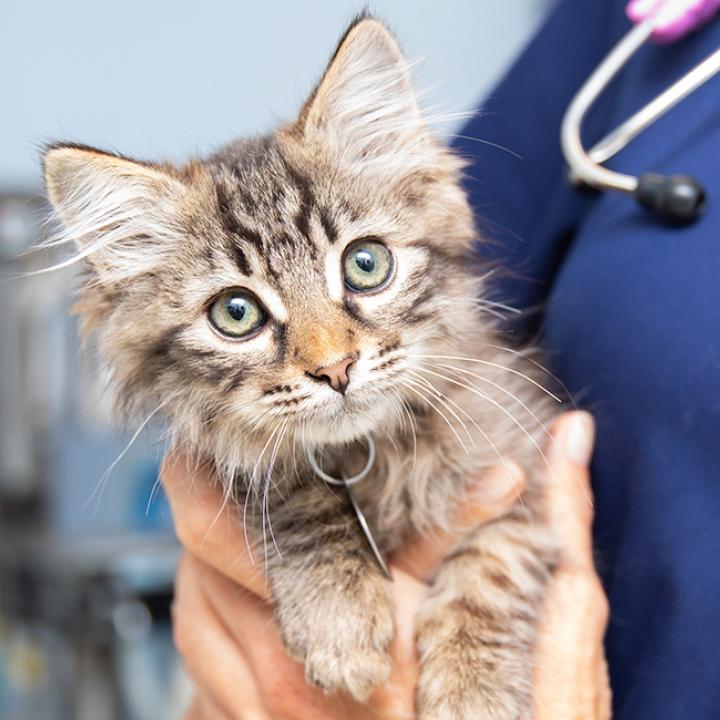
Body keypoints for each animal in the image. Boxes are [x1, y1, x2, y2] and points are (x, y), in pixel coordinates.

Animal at [43, 16, 564, 720]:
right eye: (236, 313)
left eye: (366, 264)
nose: (336, 368)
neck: (370, 457)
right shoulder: (241, 467)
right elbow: (297, 492)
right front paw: (339, 619)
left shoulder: (525, 456)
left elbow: (492, 563)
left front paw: (472, 687)